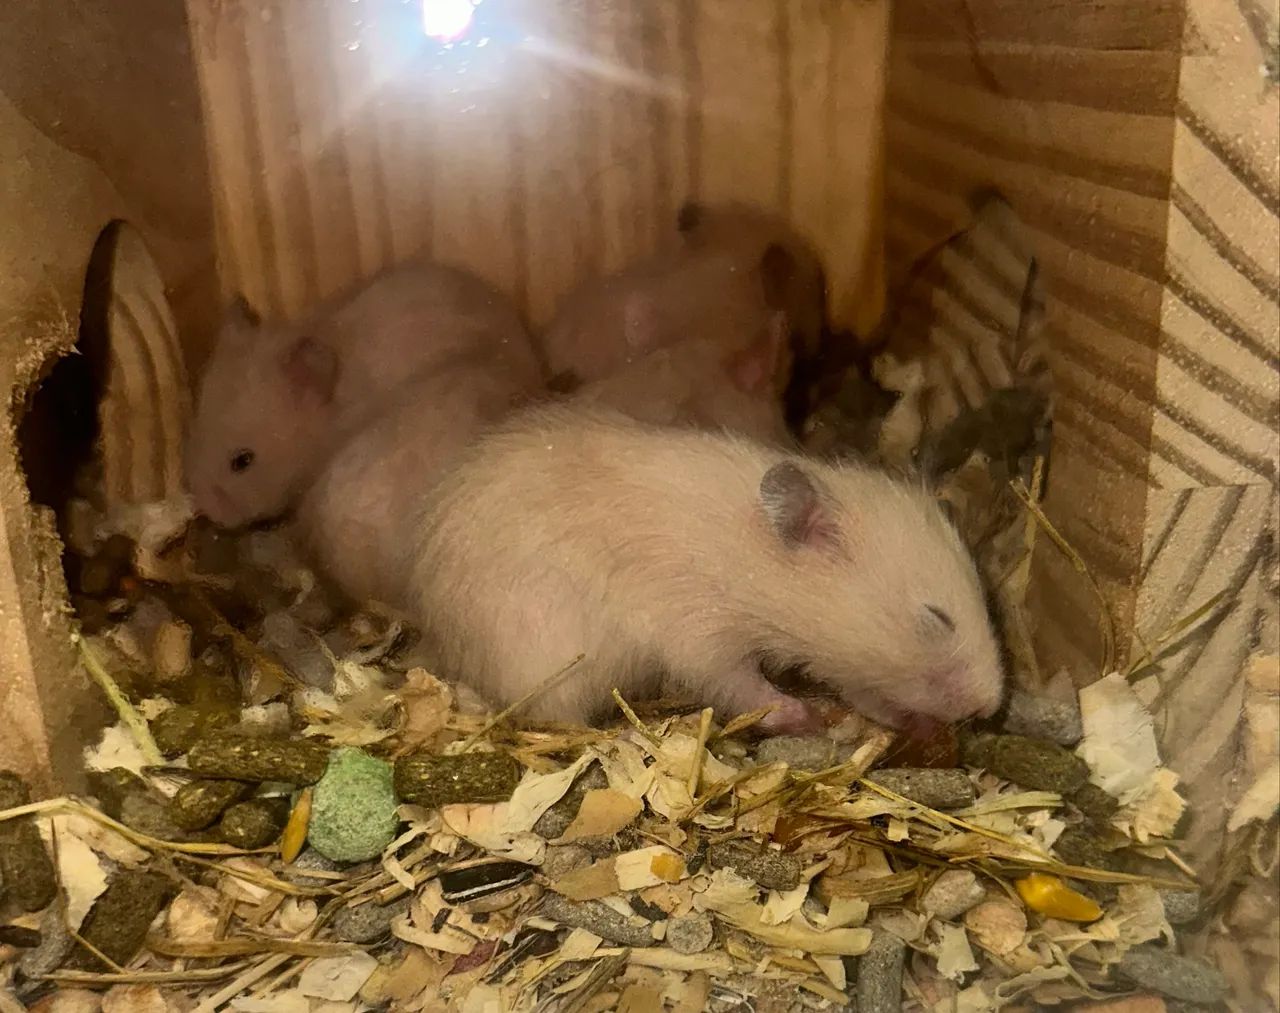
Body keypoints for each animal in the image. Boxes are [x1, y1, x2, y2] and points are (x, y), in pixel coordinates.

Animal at [407, 404, 1004, 734]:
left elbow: (868, 692)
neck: (751, 558)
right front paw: (804, 716)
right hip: (549, 655)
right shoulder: (700, 635)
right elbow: (742, 684)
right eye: (936, 617)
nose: (990, 707)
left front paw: (916, 724)